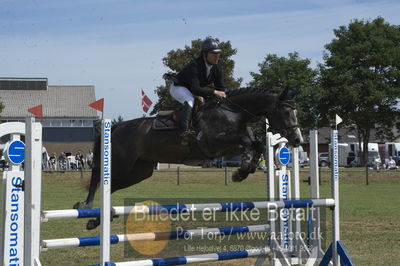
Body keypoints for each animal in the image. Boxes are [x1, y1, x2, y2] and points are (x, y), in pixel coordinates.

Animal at [73, 87, 302, 229]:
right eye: (285, 110)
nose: (298, 139)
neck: (234, 113)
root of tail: (117, 126)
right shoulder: (213, 146)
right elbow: (247, 143)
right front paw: (241, 170)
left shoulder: (230, 147)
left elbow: (258, 144)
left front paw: (244, 170)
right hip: (122, 164)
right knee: (98, 175)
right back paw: (85, 205)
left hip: (139, 172)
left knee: (111, 186)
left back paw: (97, 218)